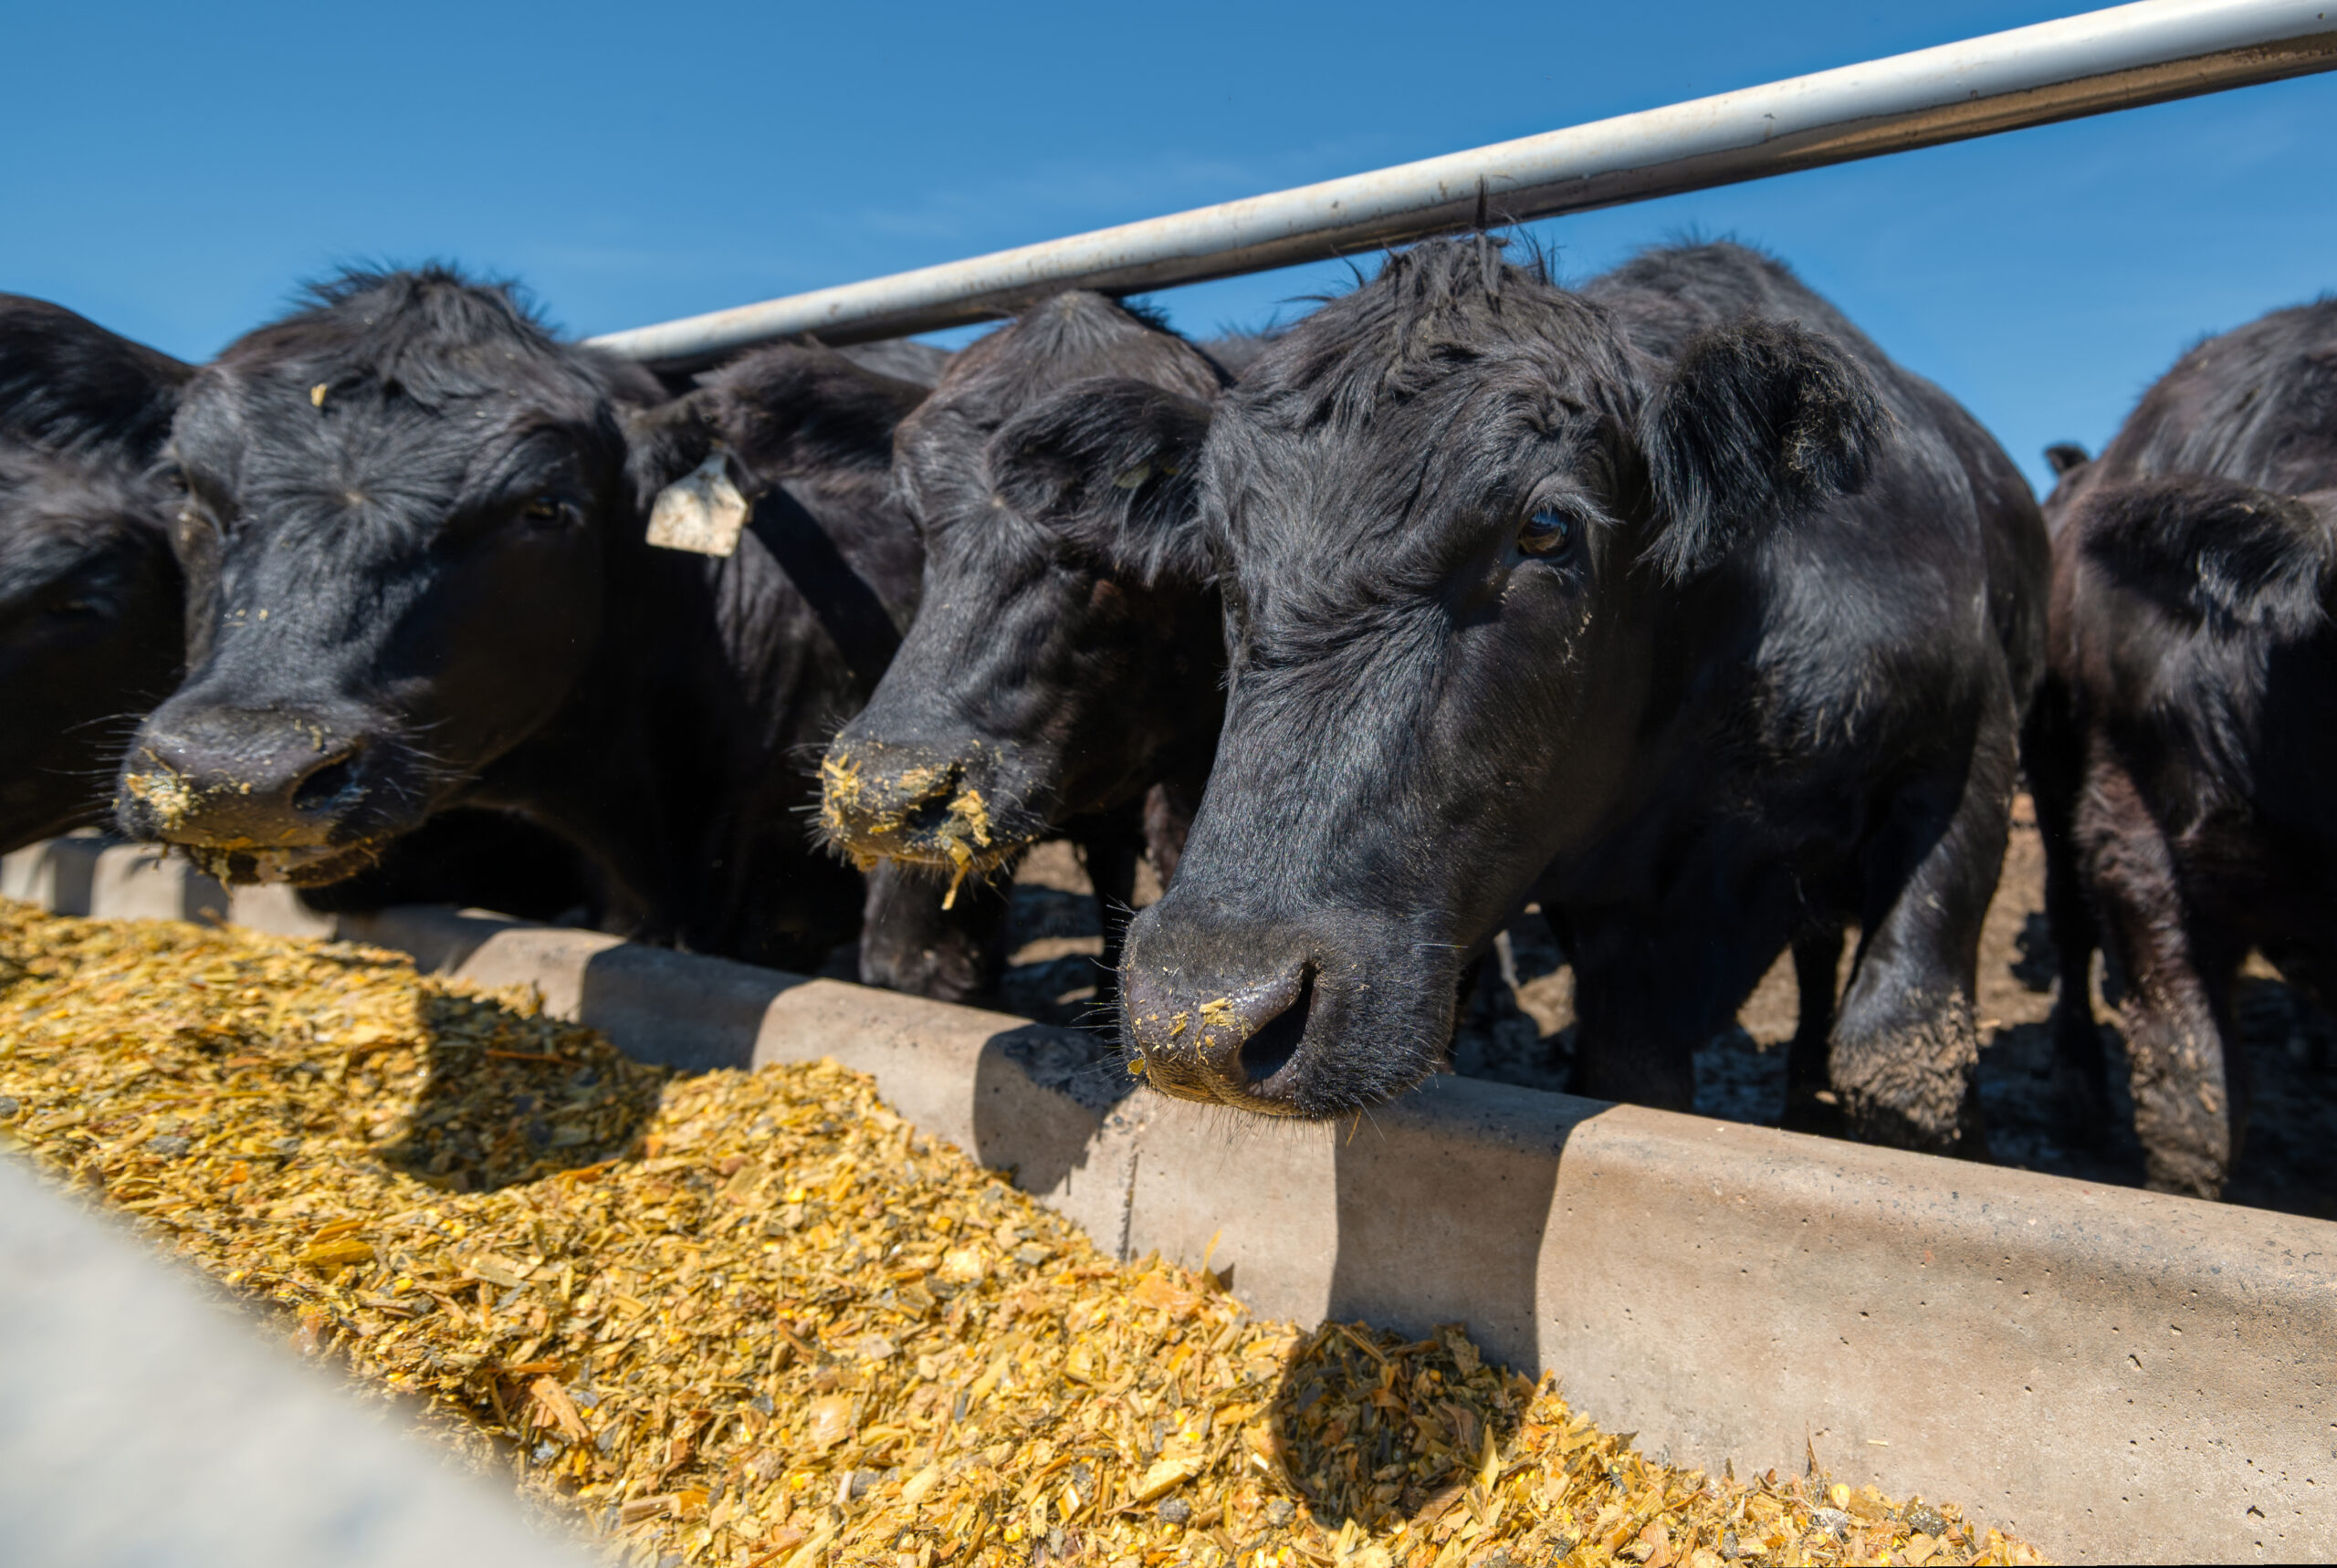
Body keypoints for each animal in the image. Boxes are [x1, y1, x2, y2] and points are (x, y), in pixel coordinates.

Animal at [990, 238, 2047, 1152]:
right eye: (1215, 547)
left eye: (1546, 526)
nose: (1198, 1010)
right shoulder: (1619, 926)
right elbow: (1637, 1070)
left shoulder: (1970, 752)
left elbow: (1900, 1055)